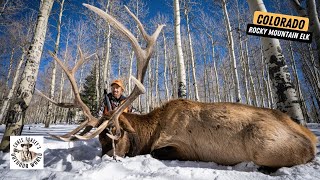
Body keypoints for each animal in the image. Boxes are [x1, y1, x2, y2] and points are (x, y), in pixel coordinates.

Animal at [38, 3, 318, 169]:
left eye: (115, 132)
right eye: (100, 140)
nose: (107, 158)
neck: (151, 129)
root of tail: (311, 139)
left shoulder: (180, 145)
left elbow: (156, 153)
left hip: (264, 145)